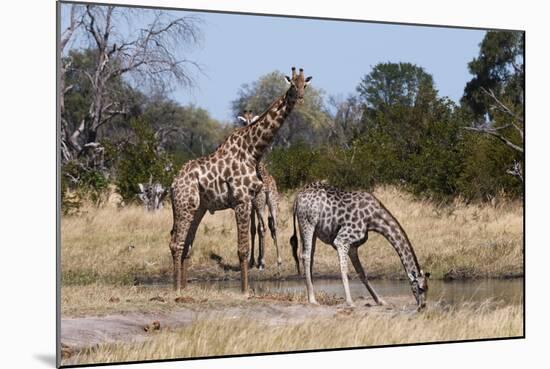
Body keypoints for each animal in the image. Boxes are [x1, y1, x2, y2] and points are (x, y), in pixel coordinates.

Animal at [235, 110, 282, 270]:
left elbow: (253, 229)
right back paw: (278, 260)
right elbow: (256, 228)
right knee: (274, 226)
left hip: (261, 204)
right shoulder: (256, 205)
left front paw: (252, 261)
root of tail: (267, 187)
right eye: (244, 121)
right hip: (273, 203)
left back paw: (262, 262)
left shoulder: (251, 204)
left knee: (263, 227)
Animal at [292, 181, 430, 308]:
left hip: (309, 228)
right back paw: (312, 300)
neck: (373, 219)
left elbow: (362, 273)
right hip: (308, 223)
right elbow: (344, 269)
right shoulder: (342, 240)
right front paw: (350, 302)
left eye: (428, 288)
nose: (423, 306)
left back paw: (311, 296)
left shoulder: (353, 246)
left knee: (309, 256)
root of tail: (297, 198)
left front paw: (380, 301)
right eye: (421, 288)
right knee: (305, 256)